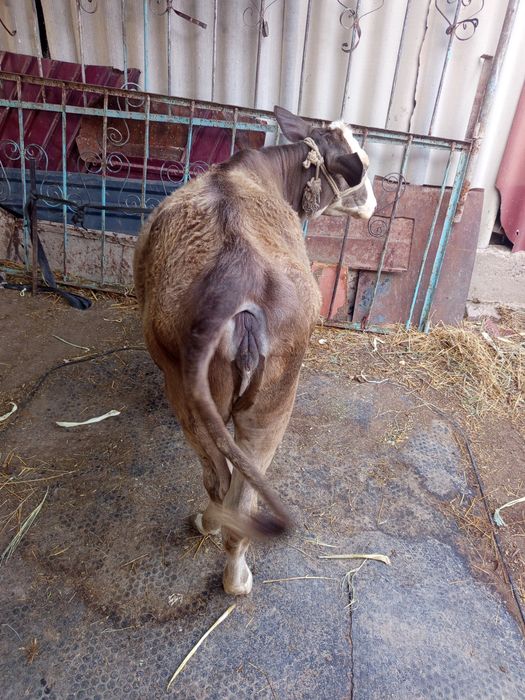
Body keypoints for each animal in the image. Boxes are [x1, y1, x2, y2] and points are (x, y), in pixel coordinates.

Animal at [133, 106, 376, 595]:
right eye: (358, 163)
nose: (373, 205)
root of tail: (235, 285)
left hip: (194, 393)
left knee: (222, 483)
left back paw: (221, 550)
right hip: (268, 401)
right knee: (234, 490)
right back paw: (233, 569)